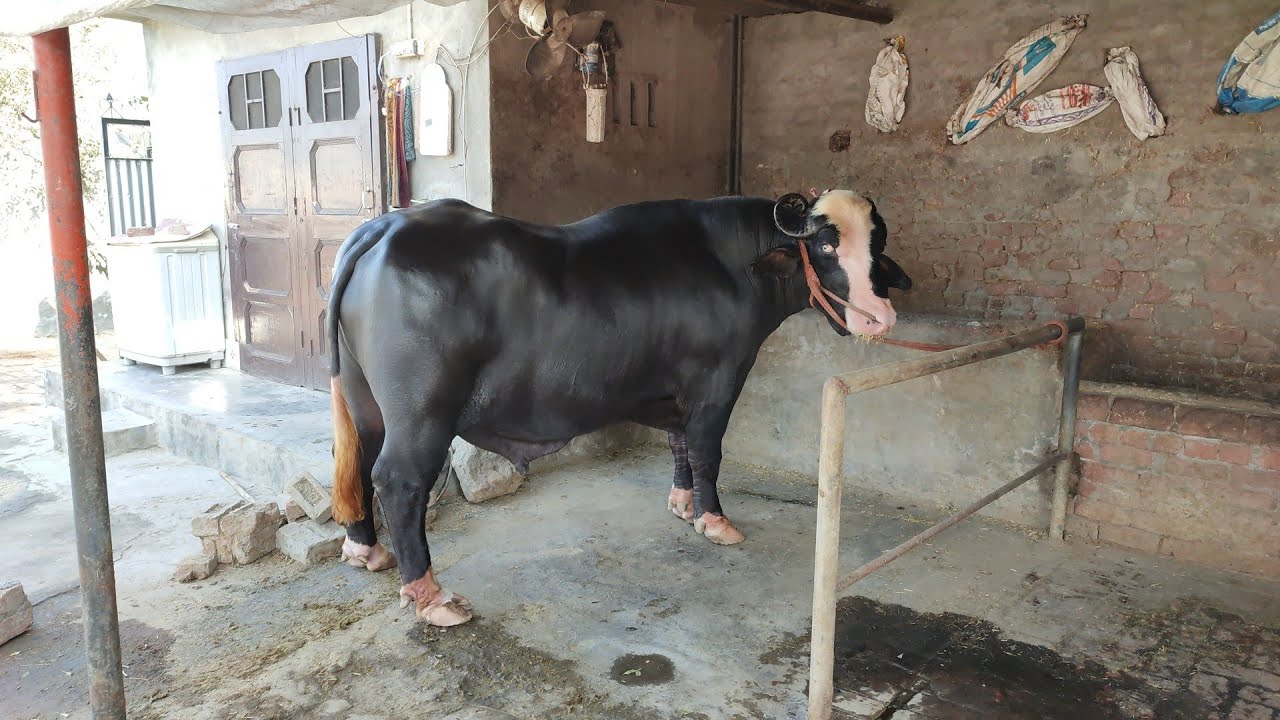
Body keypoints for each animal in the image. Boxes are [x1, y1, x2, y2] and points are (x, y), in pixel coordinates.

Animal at [327, 190, 912, 627]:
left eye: (877, 241)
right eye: (828, 247)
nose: (881, 318)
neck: (731, 265)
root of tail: (386, 227)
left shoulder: (676, 394)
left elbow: (680, 444)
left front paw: (683, 504)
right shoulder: (718, 382)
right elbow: (707, 450)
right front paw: (714, 519)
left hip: (367, 402)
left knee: (359, 458)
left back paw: (366, 550)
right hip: (421, 412)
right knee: (398, 481)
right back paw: (433, 596)